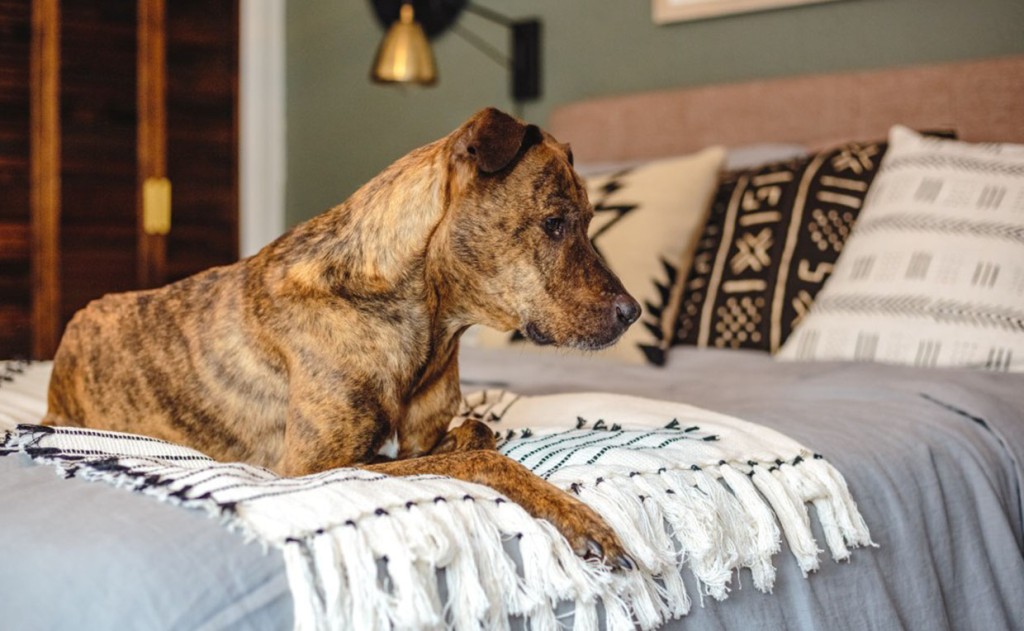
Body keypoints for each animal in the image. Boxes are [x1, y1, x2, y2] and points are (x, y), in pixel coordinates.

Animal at [49, 106, 638, 569]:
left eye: (591, 222)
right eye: (555, 223)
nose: (632, 312)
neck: (423, 320)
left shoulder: (419, 440)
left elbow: (475, 433)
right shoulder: (313, 468)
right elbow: (482, 459)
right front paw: (579, 517)